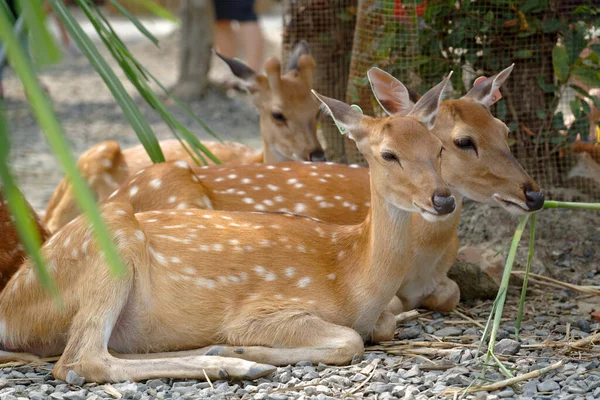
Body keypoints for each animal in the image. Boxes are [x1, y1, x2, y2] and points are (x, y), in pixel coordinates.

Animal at [0, 76, 454, 382]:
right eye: (388, 154)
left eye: (439, 149)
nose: (443, 199)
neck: (352, 276)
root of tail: (7, 306)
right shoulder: (264, 309)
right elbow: (349, 340)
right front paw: (246, 348)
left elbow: (383, 325)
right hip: (108, 245)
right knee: (79, 359)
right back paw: (236, 362)